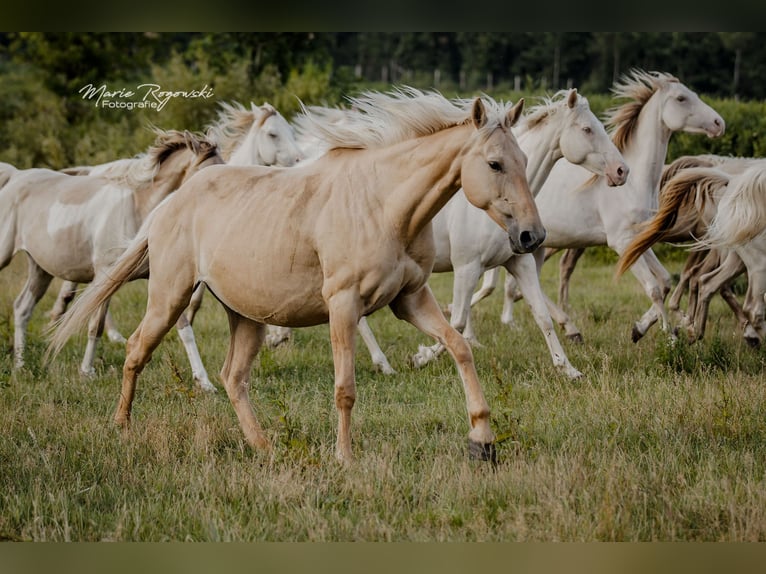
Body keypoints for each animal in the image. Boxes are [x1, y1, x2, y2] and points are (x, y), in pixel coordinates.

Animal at [0, 129, 223, 384]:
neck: (137, 209)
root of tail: (15, 176)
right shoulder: (105, 275)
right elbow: (95, 326)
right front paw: (87, 372)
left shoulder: (164, 279)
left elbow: (184, 329)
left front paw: (205, 382)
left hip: (40, 269)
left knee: (22, 309)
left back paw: (20, 364)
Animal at [49, 87, 545, 464]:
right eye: (495, 163)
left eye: (524, 159)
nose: (531, 235)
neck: (384, 204)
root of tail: (172, 203)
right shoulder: (343, 305)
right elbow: (345, 387)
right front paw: (345, 457)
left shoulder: (411, 299)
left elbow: (460, 347)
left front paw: (483, 442)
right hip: (170, 298)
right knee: (137, 350)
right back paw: (122, 427)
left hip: (245, 315)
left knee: (233, 377)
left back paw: (264, 446)